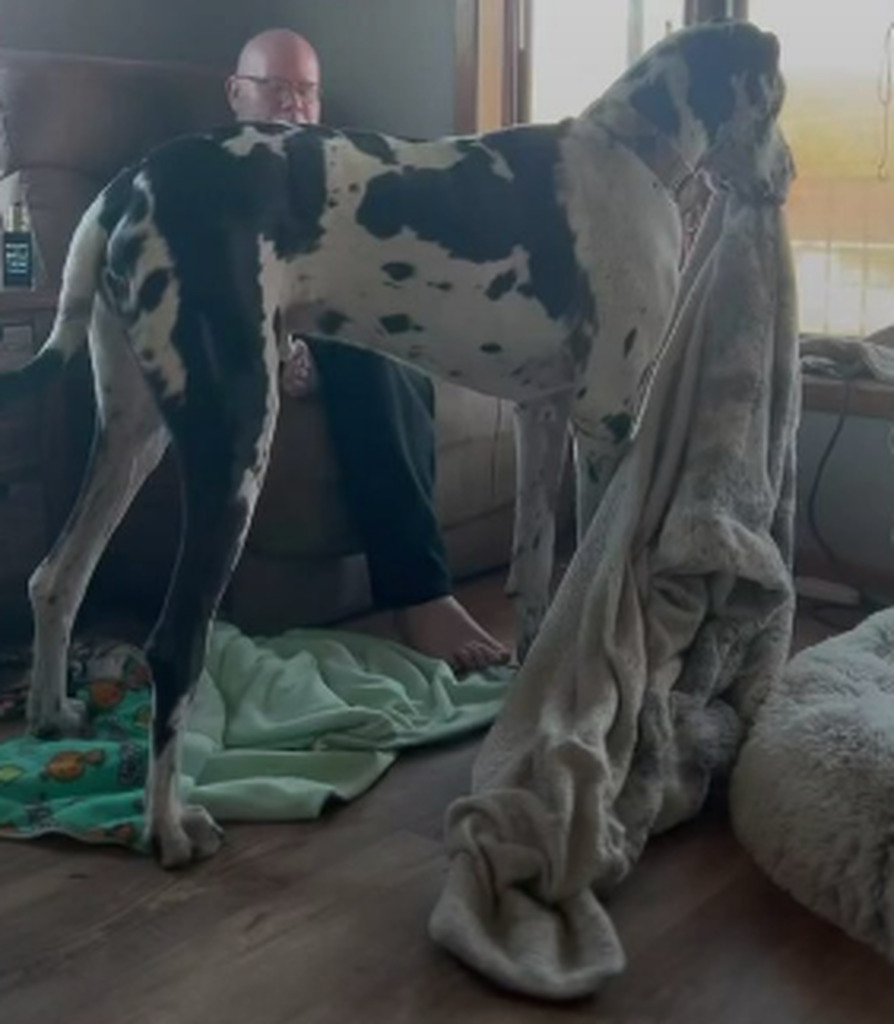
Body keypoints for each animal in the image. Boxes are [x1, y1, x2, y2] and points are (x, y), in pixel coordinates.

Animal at [0, 19, 786, 864]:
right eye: (778, 98)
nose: (789, 177)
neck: (632, 147)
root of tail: (127, 184)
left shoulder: (543, 417)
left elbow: (536, 577)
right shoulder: (605, 420)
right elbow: (602, 589)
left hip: (136, 435)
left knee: (55, 575)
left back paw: (52, 713)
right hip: (236, 439)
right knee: (173, 642)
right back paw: (168, 826)